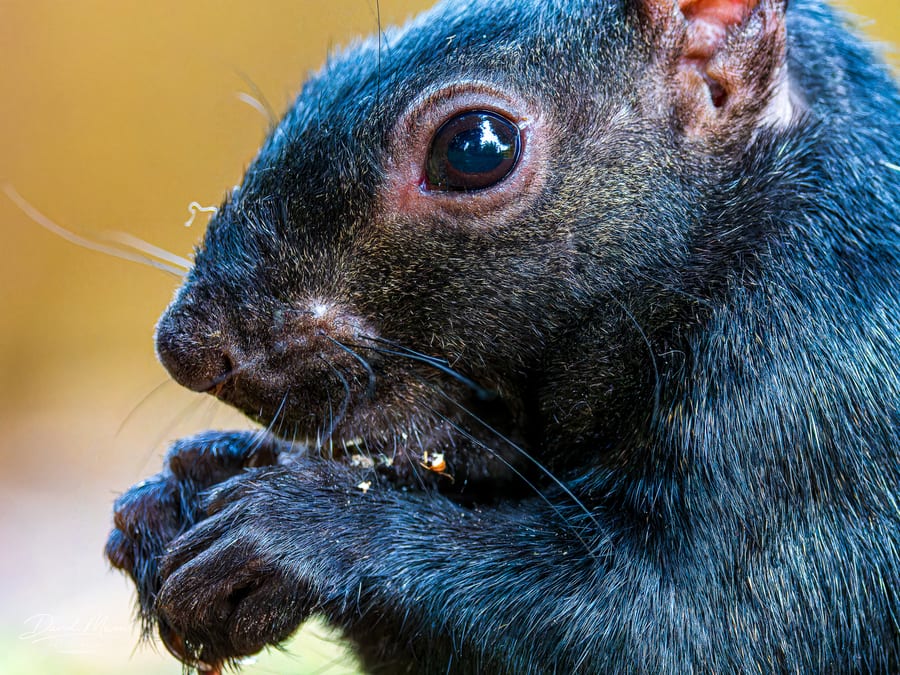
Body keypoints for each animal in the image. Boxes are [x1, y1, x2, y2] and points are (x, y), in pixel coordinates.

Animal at [105, 0, 900, 672]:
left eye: (476, 147)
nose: (187, 347)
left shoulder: (815, 404)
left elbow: (696, 630)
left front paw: (299, 528)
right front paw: (183, 487)